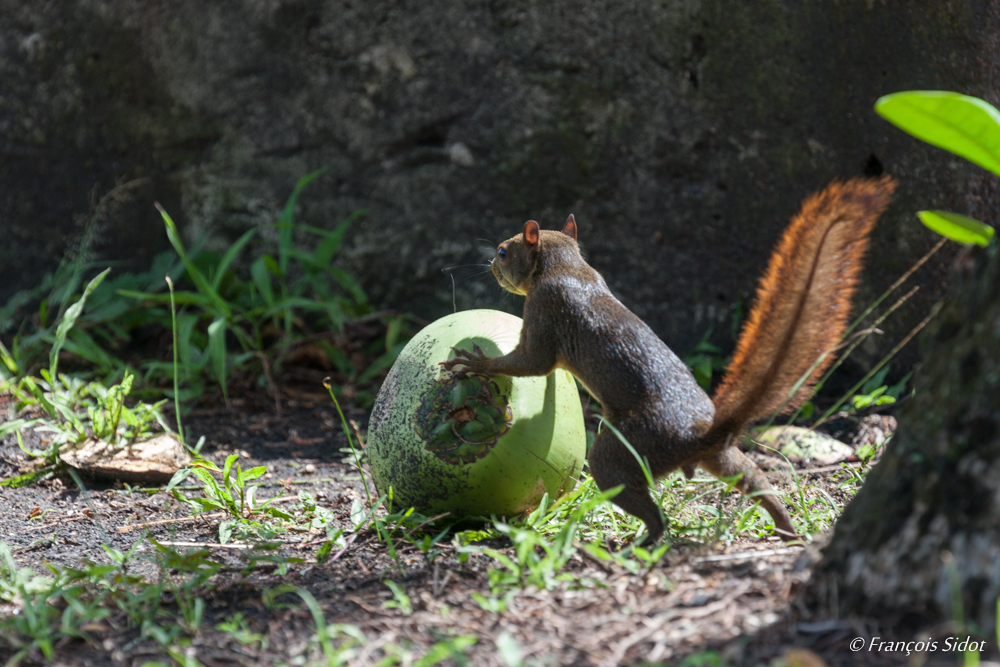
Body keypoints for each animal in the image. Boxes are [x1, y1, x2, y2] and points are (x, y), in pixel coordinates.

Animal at [442, 176, 896, 544]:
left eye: (504, 251)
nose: (490, 263)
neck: (567, 266)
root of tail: (699, 436)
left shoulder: (544, 310)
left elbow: (531, 363)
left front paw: (475, 363)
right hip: (726, 459)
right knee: (758, 482)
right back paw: (786, 527)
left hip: (623, 452)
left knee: (648, 508)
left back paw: (643, 542)